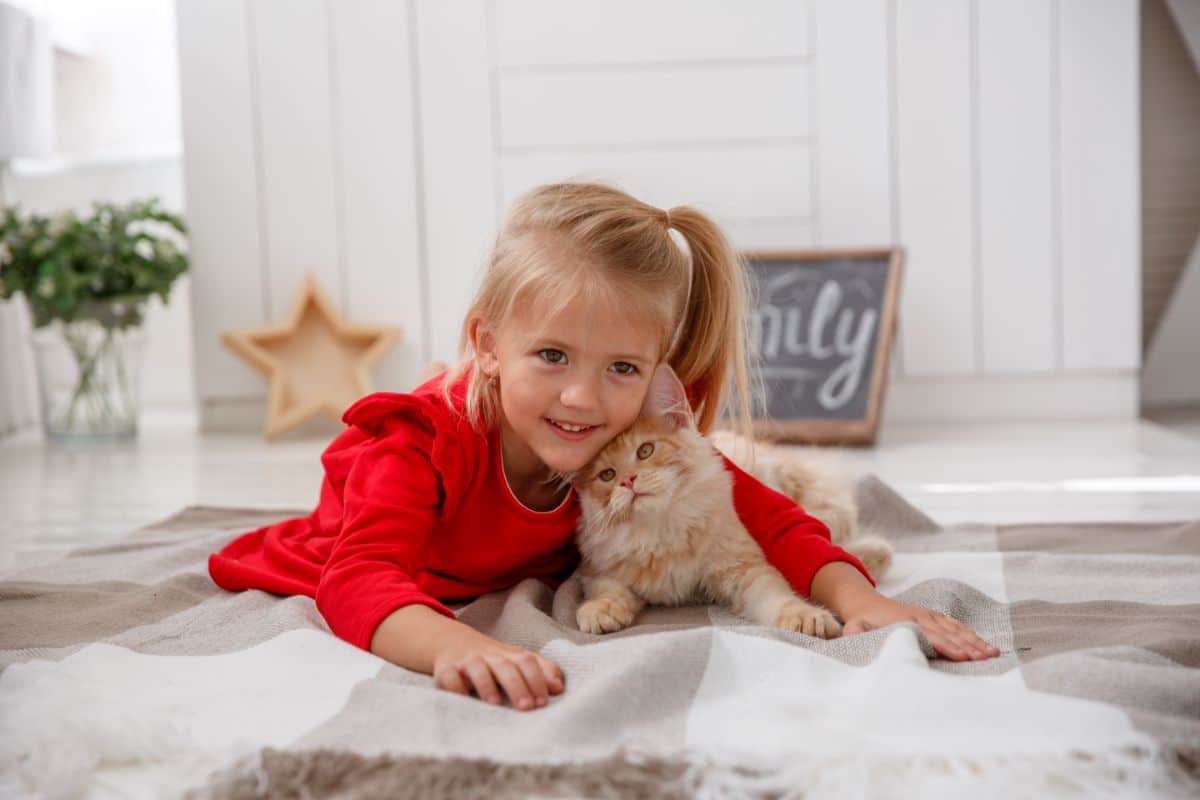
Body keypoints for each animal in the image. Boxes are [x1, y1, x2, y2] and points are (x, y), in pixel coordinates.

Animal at [571, 367, 844, 638]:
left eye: (645, 450)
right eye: (607, 475)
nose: (627, 481)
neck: (661, 529)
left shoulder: (744, 567)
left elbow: (776, 596)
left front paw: (806, 616)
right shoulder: (596, 571)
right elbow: (606, 590)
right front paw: (600, 609)